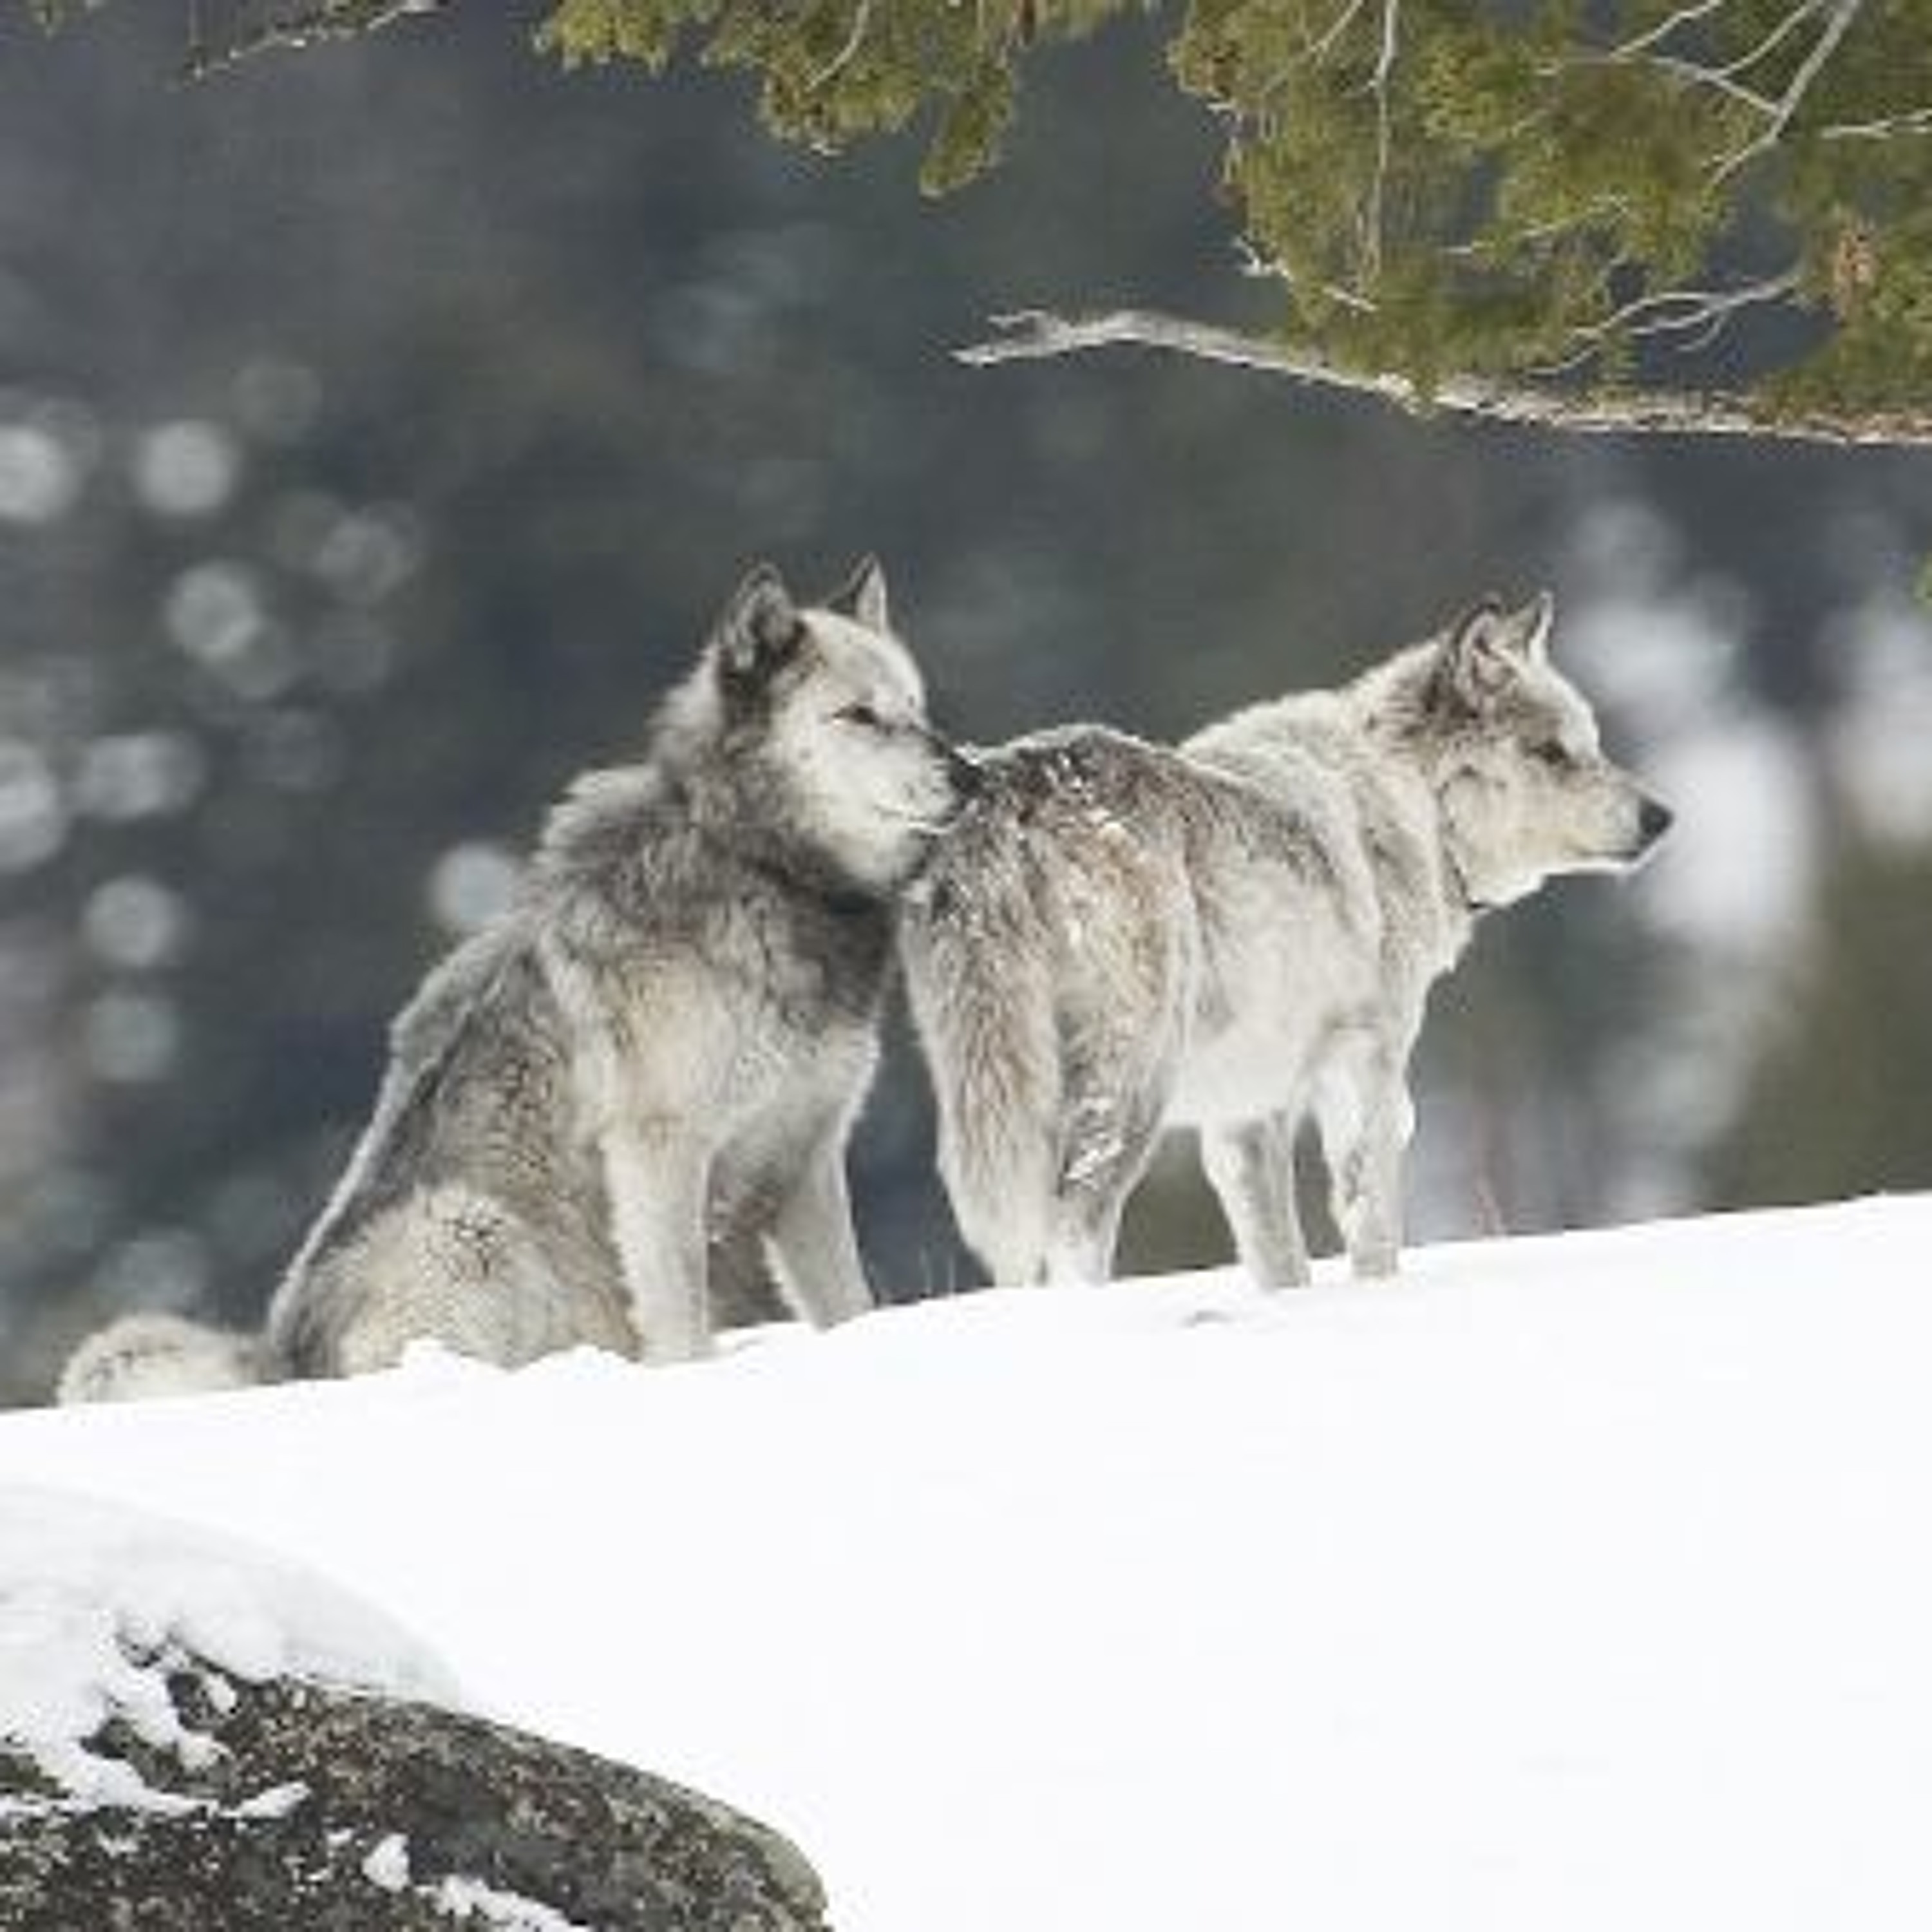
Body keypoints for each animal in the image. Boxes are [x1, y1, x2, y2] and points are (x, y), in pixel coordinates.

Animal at [60, 558, 975, 1402]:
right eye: (859, 715)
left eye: (918, 708)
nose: (968, 776)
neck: (757, 867)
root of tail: (278, 1363)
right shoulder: (659, 1149)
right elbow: (681, 1318)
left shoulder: (805, 1158)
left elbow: (850, 1305)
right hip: (472, 1226)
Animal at [900, 591, 1671, 1291]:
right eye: (1553, 752)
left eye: (1592, 744)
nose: (1662, 817)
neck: (1408, 801)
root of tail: (1006, 793)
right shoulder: (1365, 1066)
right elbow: (1371, 1226)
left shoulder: (1246, 1117)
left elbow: (1281, 1262)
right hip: (1132, 1082)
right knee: (1074, 1223)